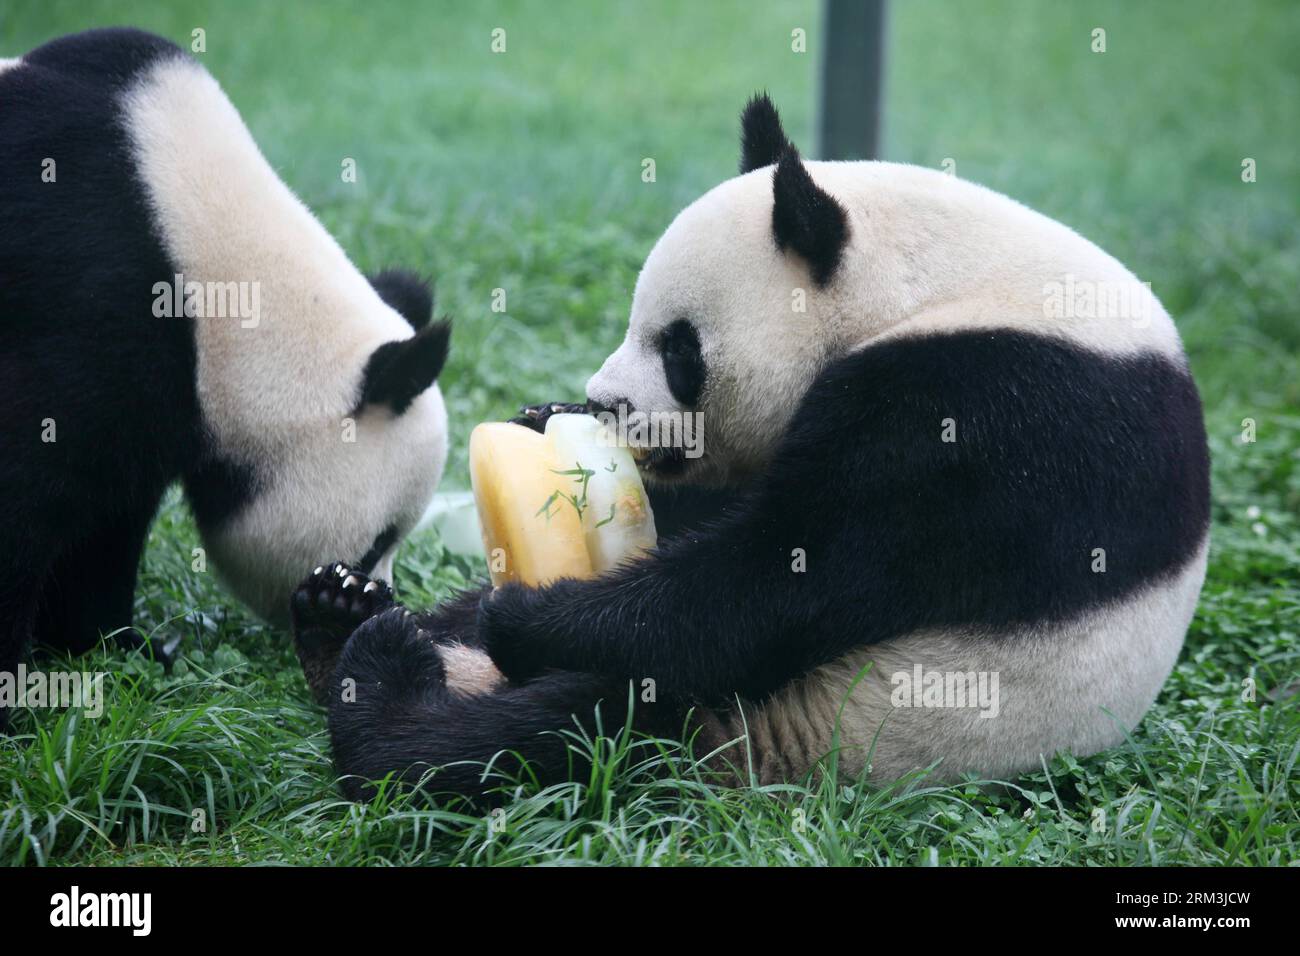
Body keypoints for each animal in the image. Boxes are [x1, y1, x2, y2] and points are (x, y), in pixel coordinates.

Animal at [0, 26, 449, 723]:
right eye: (377, 542)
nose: (381, 605)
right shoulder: (88, 312)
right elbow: (26, 494)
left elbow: (105, 521)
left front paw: (115, 648)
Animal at [292, 93, 1206, 806]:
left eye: (679, 348)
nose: (605, 401)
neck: (935, 283)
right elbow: (722, 519)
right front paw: (540, 419)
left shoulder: (988, 418)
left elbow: (780, 576)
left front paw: (528, 614)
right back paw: (340, 613)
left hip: (820, 721)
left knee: (575, 732)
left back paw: (386, 685)